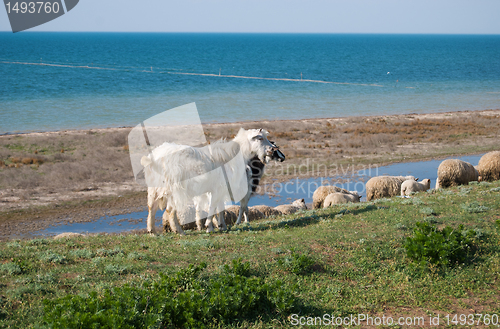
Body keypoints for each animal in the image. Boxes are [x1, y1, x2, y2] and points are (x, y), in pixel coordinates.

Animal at [141, 127, 276, 234]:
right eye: (260, 138)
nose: (272, 150)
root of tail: (154, 160)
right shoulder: (217, 188)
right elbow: (212, 207)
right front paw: (209, 227)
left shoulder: (221, 188)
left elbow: (220, 208)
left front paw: (222, 226)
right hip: (175, 189)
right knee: (170, 210)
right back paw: (179, 232)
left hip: (154, 189)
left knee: (151, 208)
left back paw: (153, 232)